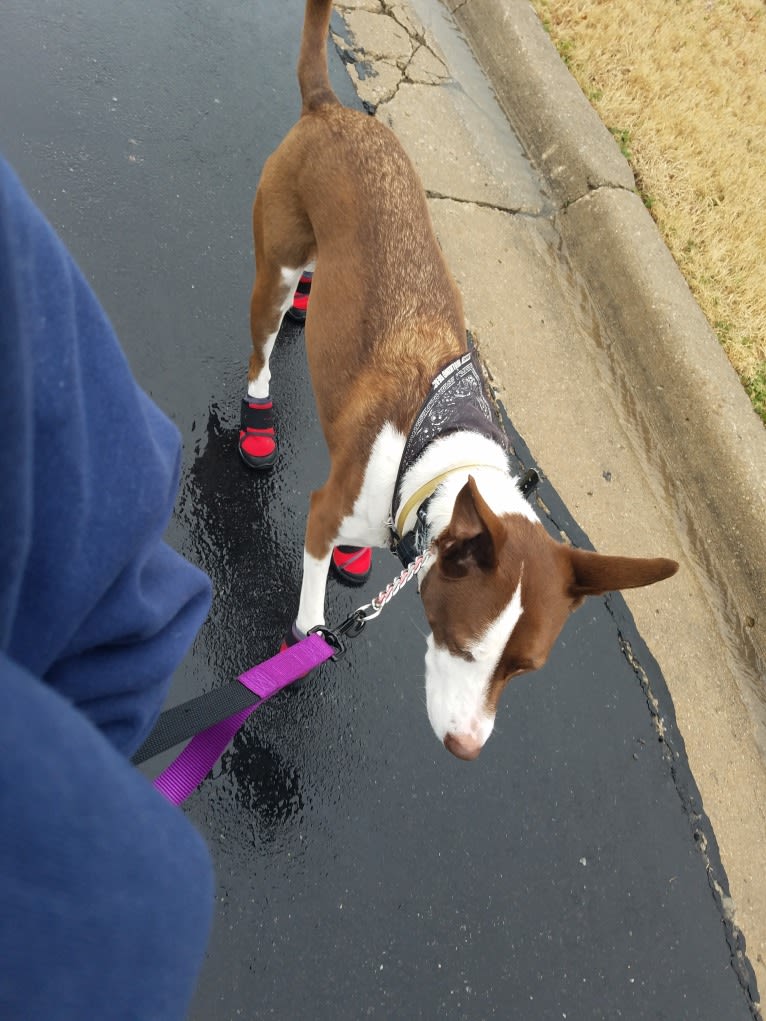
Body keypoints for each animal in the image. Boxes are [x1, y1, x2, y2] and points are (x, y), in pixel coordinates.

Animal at [244, 0, 678, 763]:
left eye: (523, 669)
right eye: (462, 646)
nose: (468, 748)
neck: (439, 455)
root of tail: (332, 109)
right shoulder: (325, 511)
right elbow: (312, 602)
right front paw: (306, 635)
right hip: (275, 258)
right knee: (262, 343)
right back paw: (259, 405)